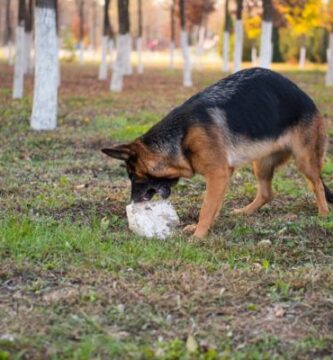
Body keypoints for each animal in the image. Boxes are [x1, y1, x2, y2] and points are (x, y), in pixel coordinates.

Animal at [102, 68, 330, 239]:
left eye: (134, 177)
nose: (133, 203)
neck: (182, 135)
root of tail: (306, 98)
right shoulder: (222, 175)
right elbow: (214, 206)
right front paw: (202, 228)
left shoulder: (218, 174)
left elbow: (207, 207)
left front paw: (198, 235)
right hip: (261, 164)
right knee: (267, 193)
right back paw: (245, 212)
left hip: (304, 161)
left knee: (317, 184)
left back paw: (324, 215)